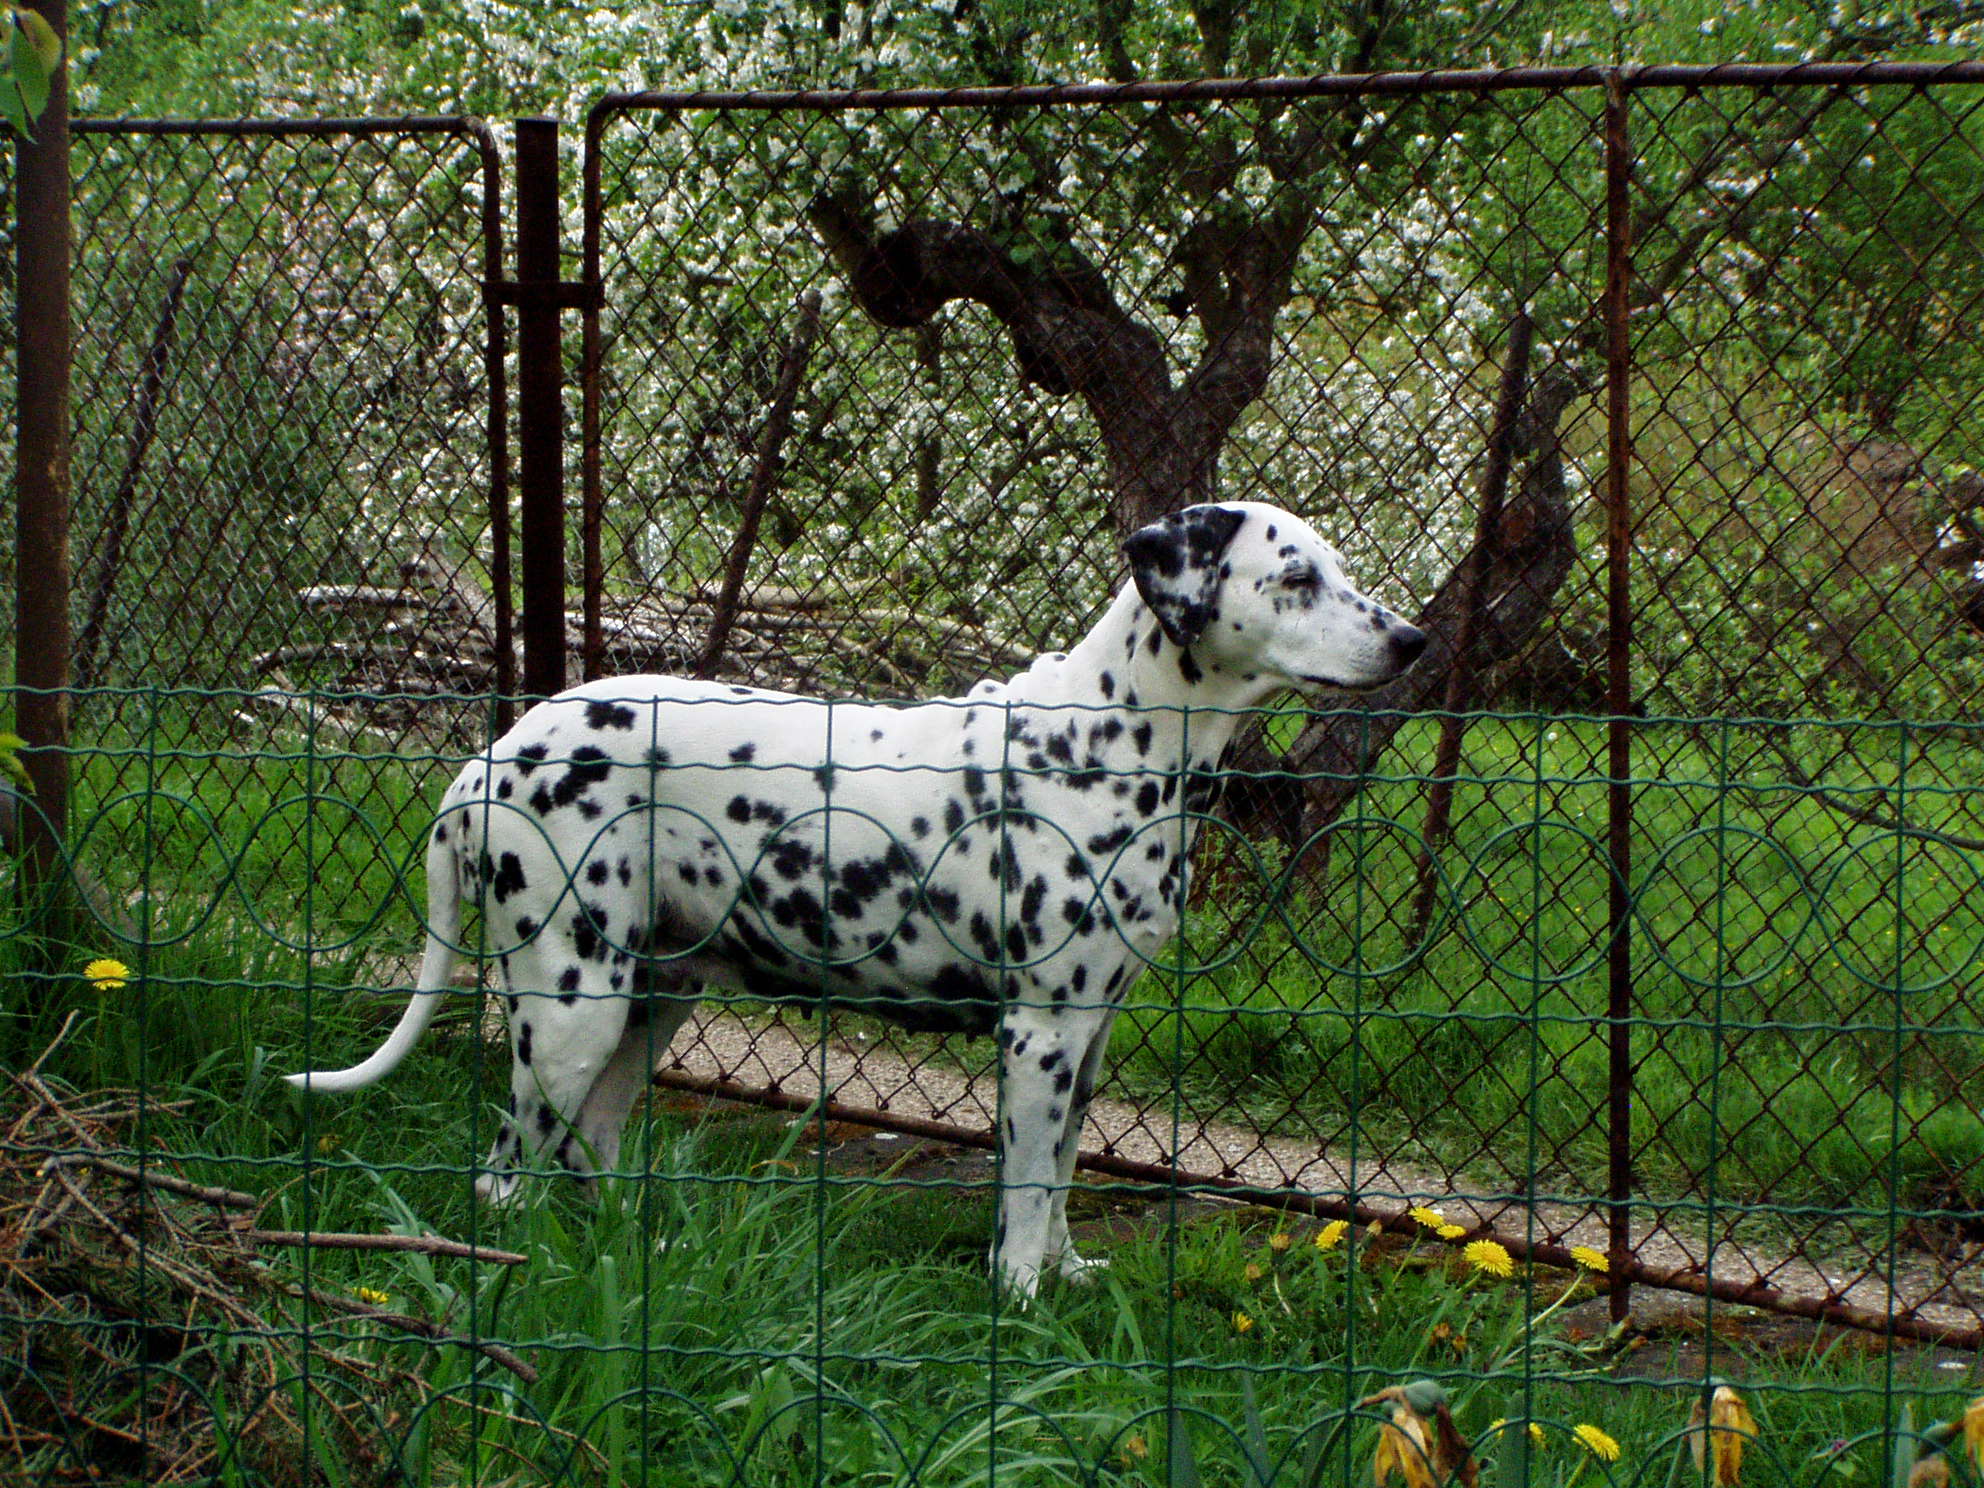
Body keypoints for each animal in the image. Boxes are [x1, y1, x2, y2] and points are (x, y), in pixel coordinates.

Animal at [287, 501, 1424, 1296]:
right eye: (1294, 576)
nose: (1412, 641)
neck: (1107, 741)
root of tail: (495, 754)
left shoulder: (1090, 1038)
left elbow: (1060, 1183)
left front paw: (1064, 1278)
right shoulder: (1040, 1038)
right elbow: (1023, 1194)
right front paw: (1020, 1298)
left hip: (647, 1004)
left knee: (587, 1147)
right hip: (572, 1009)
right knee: (504, 1171)